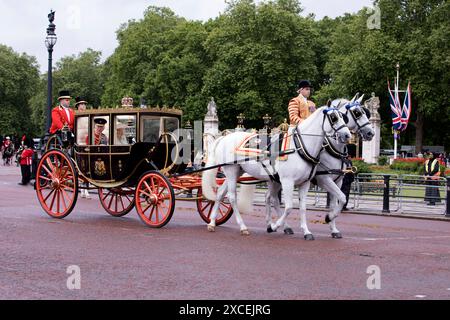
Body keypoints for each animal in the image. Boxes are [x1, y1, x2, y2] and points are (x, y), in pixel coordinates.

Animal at [202, 107, 354, 238]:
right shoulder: (291, 181)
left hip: (238, 172)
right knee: (232, 197)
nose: (347, 135)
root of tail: (225, 138)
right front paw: (274, 226)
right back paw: (243, 227)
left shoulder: (306, 183)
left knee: (220, 193)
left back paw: (212, 223)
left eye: (344, 117)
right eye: (333, 117)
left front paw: (307, 231)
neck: (300, 147)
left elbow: (303, 207)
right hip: (231, 171)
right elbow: (289, 207)